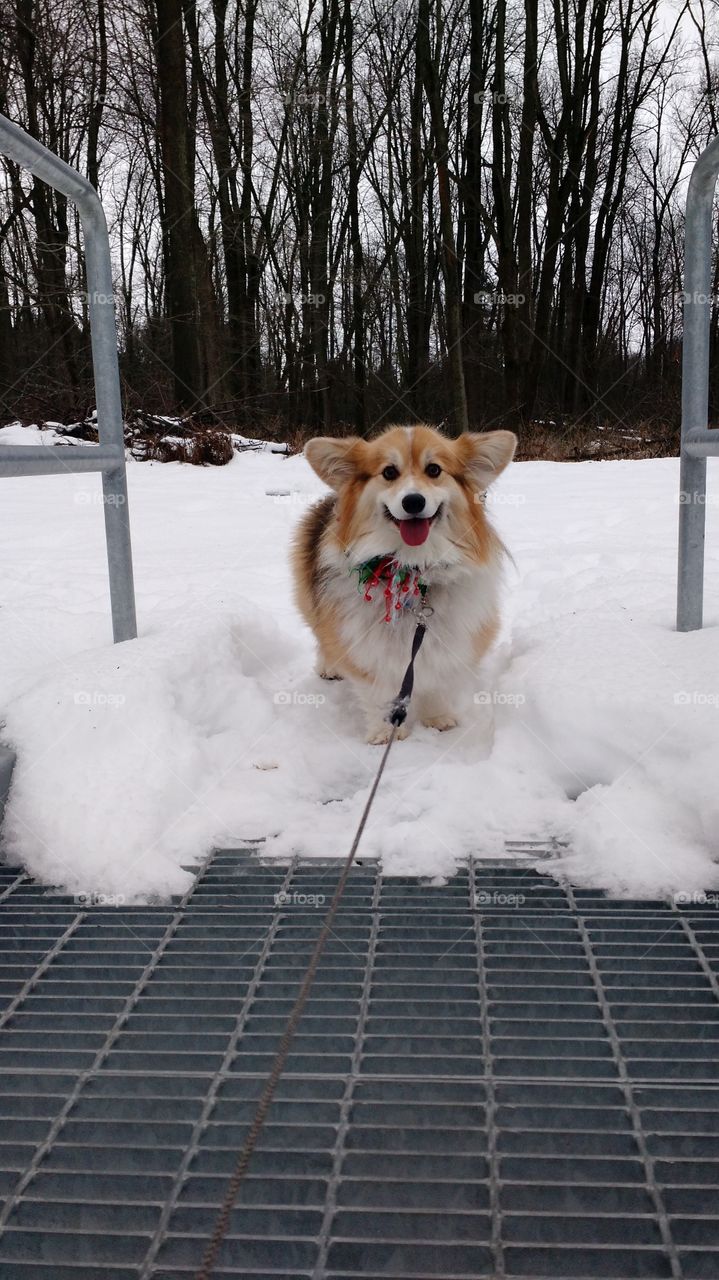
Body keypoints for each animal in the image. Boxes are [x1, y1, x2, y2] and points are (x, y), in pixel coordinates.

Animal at [291, 422, 514, 742]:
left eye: (434, 470)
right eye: (389, 472)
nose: (413, 501)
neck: (414, 570)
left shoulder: (448, 640)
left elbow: (437, 681)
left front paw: (437, 719)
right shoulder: (365, 644)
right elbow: (379, 691)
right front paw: (386, 733)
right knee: (322, 636)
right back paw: (329, 666)